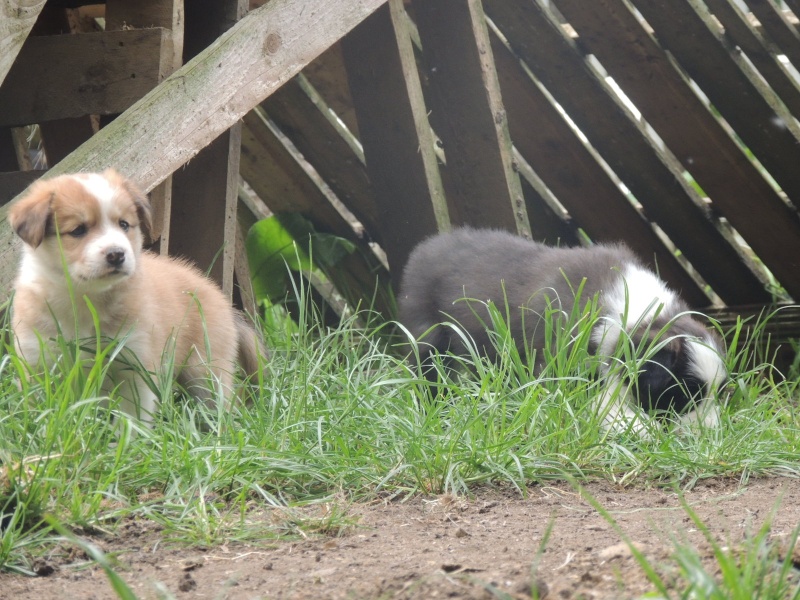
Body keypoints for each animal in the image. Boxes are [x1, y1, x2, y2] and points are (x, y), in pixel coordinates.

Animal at [7, 169, 264, 422]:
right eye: (78, 230)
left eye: (124, 224)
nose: (116, 254)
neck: (85, 299)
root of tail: (222, 299)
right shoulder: (35, 361)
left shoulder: (134, 363)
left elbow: (131, 419)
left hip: (206, 372)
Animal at [396, 226, 728, 432]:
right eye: (684, 395)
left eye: (721, 393)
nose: (711, 434)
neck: (640, 313)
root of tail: (425, 247)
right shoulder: (559, 363)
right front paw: (638, 428)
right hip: (429, 337)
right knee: (429, 375)